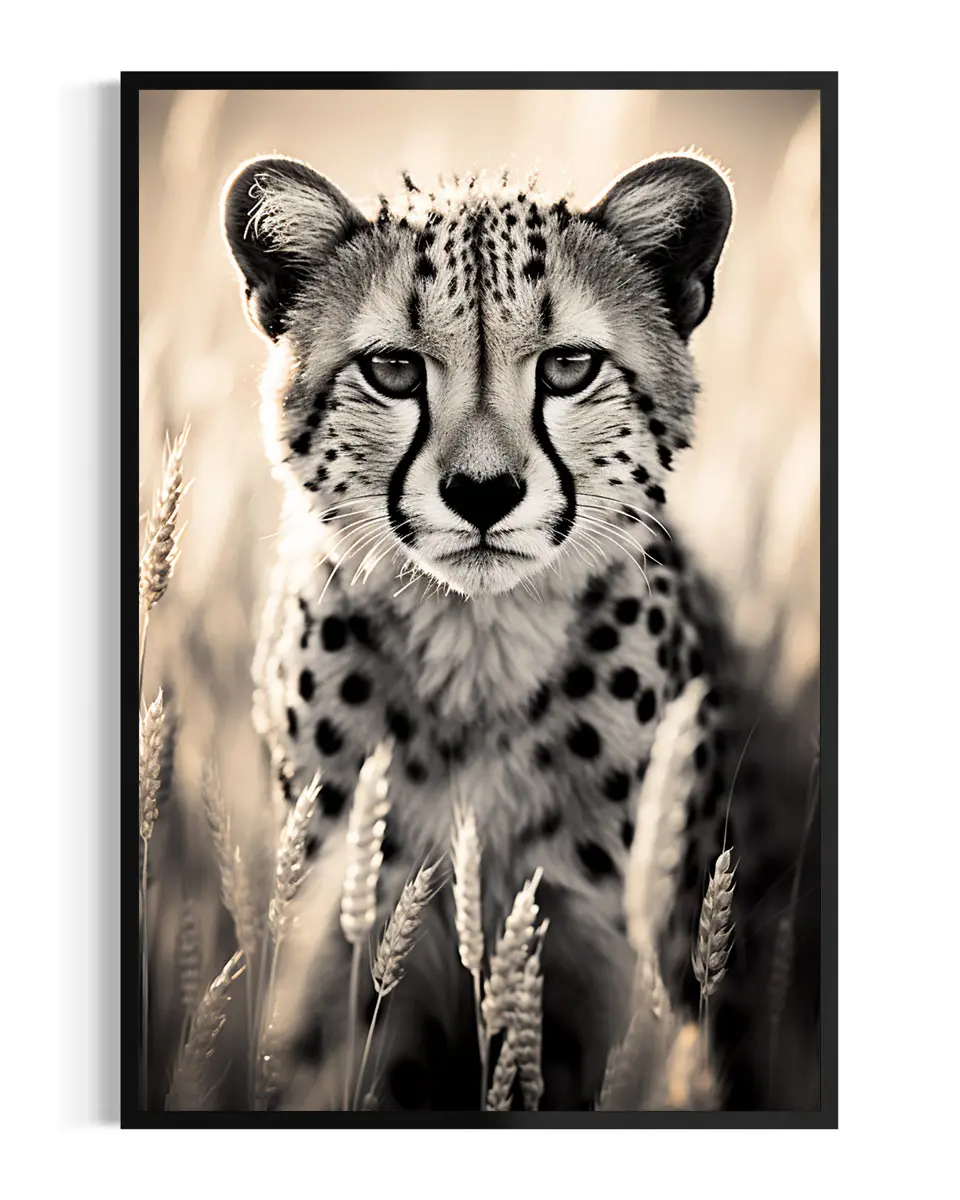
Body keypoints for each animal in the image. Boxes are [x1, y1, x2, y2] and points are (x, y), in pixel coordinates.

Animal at [221, 152, 821, 1113]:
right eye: (393, 371)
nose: (483, 491)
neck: (478, 653)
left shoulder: (611, 981)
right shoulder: (339, 966)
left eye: (569, 367)